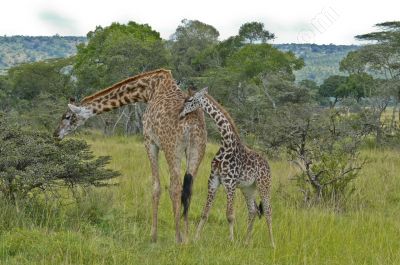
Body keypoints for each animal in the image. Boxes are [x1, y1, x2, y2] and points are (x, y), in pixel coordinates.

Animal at [53, 69, 206, 242]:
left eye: (67, 116)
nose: (55, 134)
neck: (148, 90)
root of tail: (192, 123)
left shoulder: (149, 141)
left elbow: (156, 187)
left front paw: (153, 236)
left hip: (172, 148)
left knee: (175, 187)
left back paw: (178, 238)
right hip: (197, 149)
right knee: (189, 188)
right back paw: (187, 238)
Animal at [179, 87, 276, 245]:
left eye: (189, 100)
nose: (180, 113)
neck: (226, 142)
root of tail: (267, 164)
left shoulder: (230, 184)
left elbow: (230, 215)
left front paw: (231, 241)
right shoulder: (213, 181)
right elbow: (205, 213)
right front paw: (196, 238)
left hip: (264, 185)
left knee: (268, 211)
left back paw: (272, 244)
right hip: (248, 188)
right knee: (253, 210)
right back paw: (246, 242)